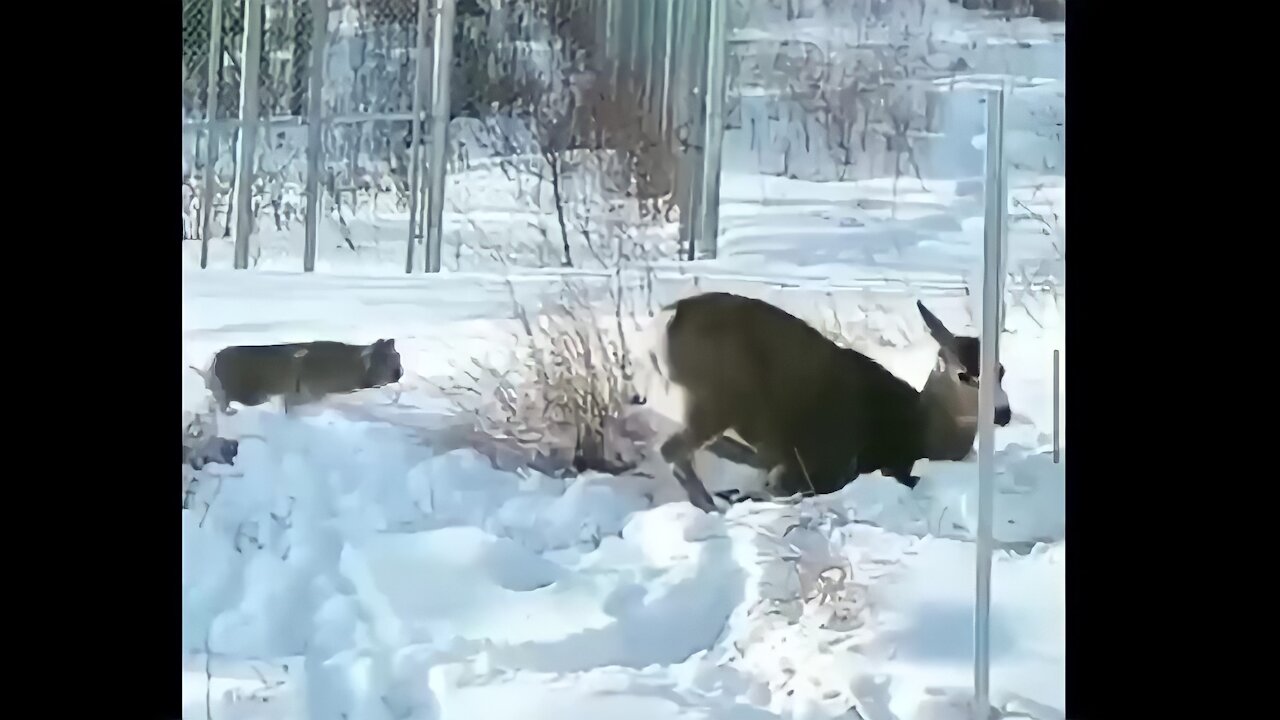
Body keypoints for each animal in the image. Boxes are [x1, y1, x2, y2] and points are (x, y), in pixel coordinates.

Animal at [640, 289, 1008, 509]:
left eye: (1001, 368)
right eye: (963, 374)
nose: (1003, 412)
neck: (917, 430)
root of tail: (661, 324)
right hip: (713, 399)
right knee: (671, 450)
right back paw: (712, 507)